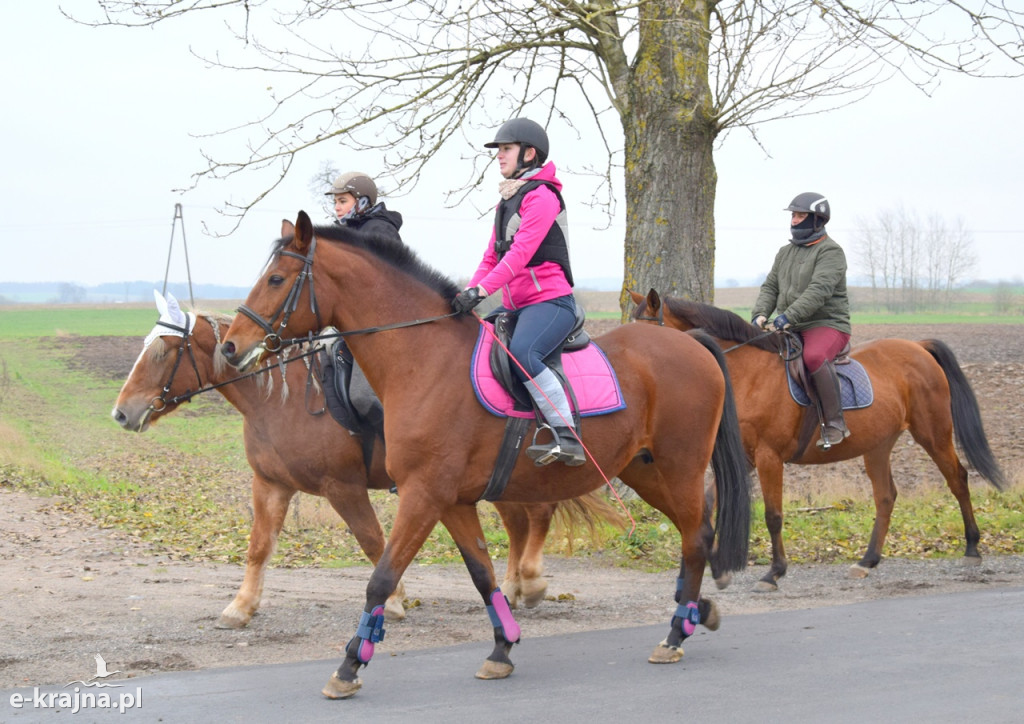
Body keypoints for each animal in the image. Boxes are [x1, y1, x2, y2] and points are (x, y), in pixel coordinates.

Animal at [113, 292, 610, 626]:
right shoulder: (271, 484)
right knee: (520, 524)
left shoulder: (343, 487)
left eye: (162, 351)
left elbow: (373, 541)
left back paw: (529, 583)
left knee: (535, 517)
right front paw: (240, 607)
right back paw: (512, 588)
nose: (122, 413)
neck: (279, 399)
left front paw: (393, 600)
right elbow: (259, 547)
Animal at [220, 211, 753, 700]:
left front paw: (351, 664)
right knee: (697, 532)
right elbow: (482, 574)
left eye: (275, 279)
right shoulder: (452, 501)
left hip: (679, 467)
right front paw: (502, 647)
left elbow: (381, 577)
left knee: (694, 537)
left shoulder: (422, 495)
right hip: (647, 473)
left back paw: (676, 631)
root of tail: (690, 343)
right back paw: (693, 614)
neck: (423, 357)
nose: (230, 346)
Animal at [626, 286, 1003, 593]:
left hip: (933, 434)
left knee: (958, 479)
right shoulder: (745, 458)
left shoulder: (768, 457)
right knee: (885, 496)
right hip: (878, 446)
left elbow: (773, 515)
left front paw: (774, 573)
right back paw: (867, 561)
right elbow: (708, 502)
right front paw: (717, 567)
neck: (749, 372)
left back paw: (972, 549)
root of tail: (919, 347)